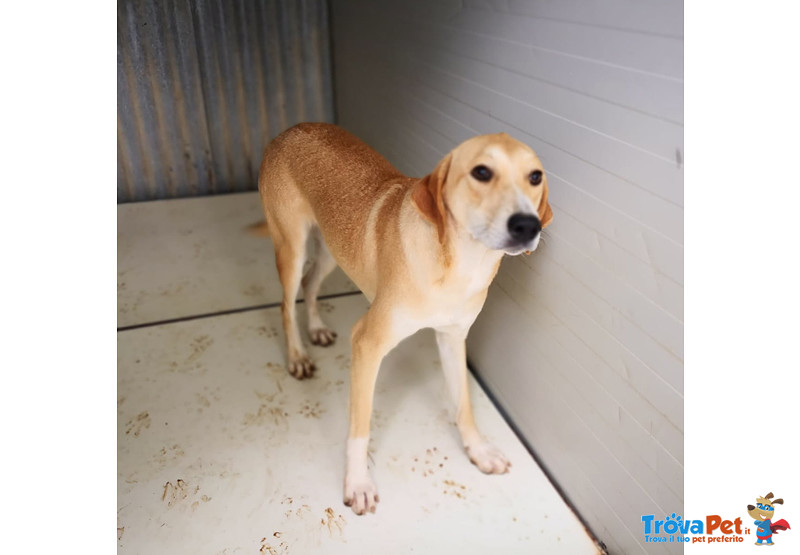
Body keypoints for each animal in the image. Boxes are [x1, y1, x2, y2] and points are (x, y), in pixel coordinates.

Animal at [256, 124, 552, 516]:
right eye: (481, 172)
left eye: (535, 176)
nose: (528, 225)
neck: (459, 264)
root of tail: (288, 131)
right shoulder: (366, 343)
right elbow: (360, 426)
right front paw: (358, 483)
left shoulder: (453, 339)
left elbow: (464, 405)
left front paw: (478, 450)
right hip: (292, 247)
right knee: (286, 303)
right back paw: (297, 357)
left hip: (332, 250)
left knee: (310, 284)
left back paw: (316, 328)